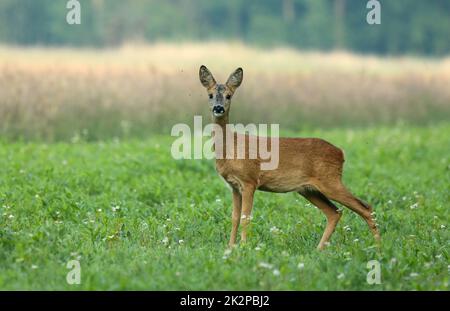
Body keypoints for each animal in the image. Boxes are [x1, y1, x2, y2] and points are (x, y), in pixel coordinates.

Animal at [200, 66, 380, 251]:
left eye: (229, 95)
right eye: (210, 95)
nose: (218, 108)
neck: (231, 147)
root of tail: (341, 153)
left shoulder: (250, 180)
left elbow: (245, 217)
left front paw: (244, 246)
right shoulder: (234, 186)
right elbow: (235, 217)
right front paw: (230, 247)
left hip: (330, 181)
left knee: (365, 207)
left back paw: (379, 248)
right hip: (308, 189)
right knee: (335, 212)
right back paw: (319, 249)